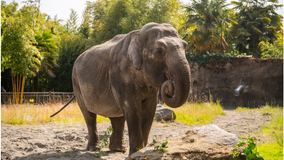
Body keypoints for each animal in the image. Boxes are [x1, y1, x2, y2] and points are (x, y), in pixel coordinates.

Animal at [53, 22, 191, 155]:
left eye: (185, 46)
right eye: (159, 52)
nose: (169, 83)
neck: (138, 35)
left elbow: (149, 110)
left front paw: (141, 152)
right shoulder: (120, 75)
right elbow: (132, 108)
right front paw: (135, 153)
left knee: (117, 117)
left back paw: (118, 149)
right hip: (76, 83)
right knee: (89, 115)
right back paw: (94, 148)